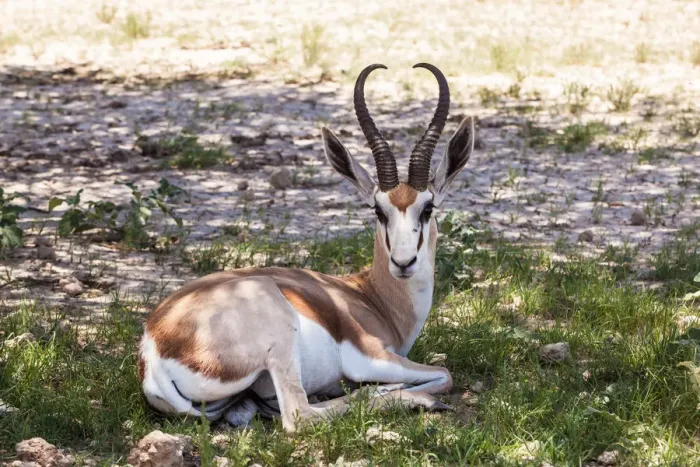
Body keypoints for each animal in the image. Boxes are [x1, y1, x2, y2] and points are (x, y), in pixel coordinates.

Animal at [138, 63, 475, 433]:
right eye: (378, 210)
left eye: (427, 208)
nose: (403, 262)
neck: (372, 297)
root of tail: (154, 348)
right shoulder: (372, 357)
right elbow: (444, 374)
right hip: (281, 340)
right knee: (299, 415)